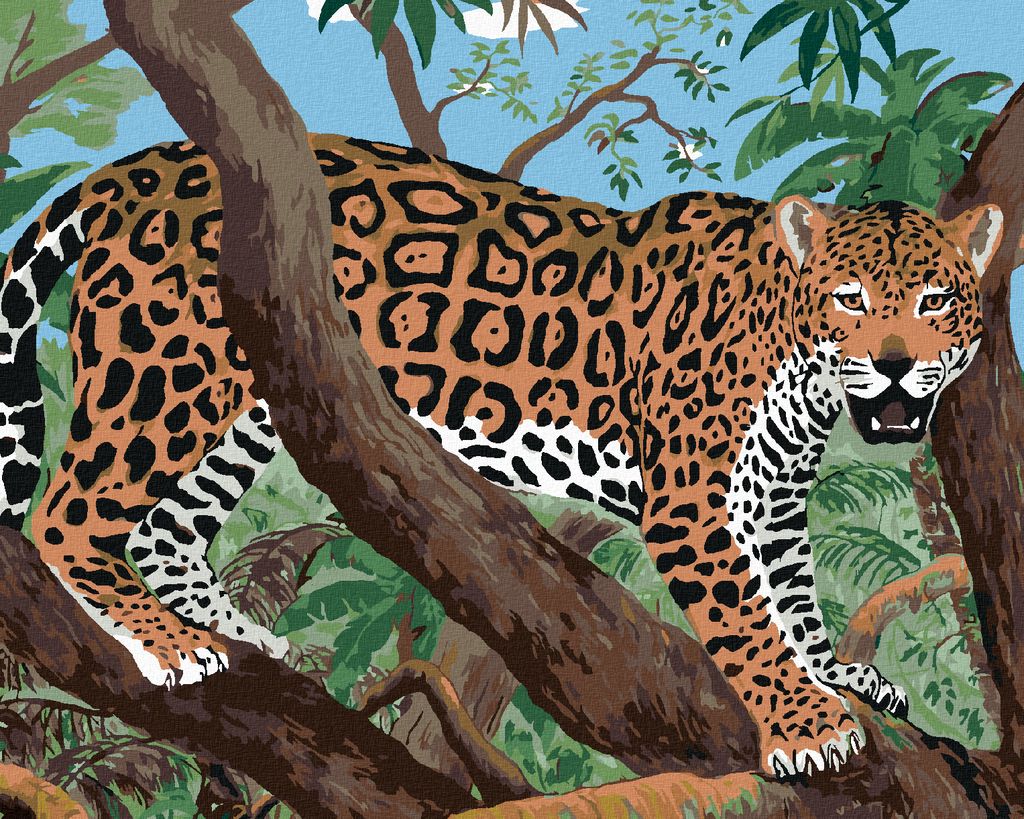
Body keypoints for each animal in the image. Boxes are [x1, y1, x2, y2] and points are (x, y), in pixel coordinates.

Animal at [0, 133, 1001, 777]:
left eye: (938, 300)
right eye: (850, 297)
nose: (896, 363)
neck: (799, 370)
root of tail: (141, 166)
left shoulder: (775, 497)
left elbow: (792, 600)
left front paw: (834, 677)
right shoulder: (693, 500)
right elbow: (745, 616)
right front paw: (803, 724)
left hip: (253, 394)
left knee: (166, 527)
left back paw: (238, 634)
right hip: (164, 370)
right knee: (68, 513)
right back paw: (172, 642)